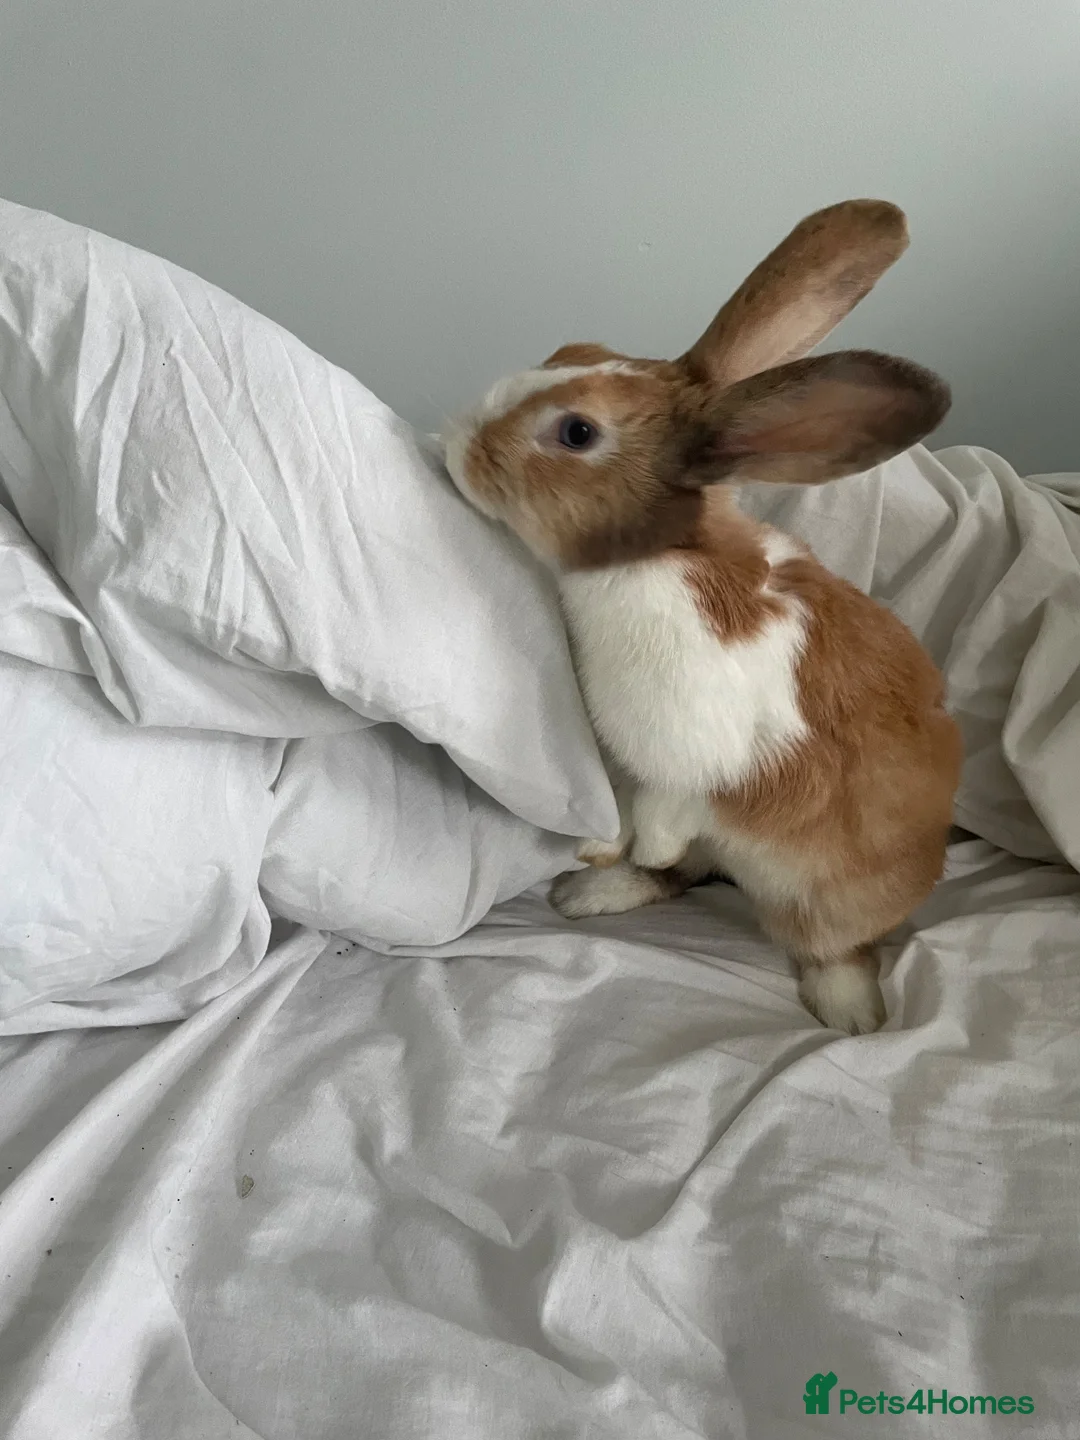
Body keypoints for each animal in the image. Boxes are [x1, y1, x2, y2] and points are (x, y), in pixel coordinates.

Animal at [441, 199, 962, 1035]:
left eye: (577, 432)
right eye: (573, 348)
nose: (456, 441)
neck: (657, 560)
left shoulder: (695, 752)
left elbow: (668, 807)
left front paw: (627, 847)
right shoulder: (623, 757)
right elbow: (628, 812)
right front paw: (599, 852)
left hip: (826, 899)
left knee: (829, 940)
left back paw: (852, 1014)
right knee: (685, 875)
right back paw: (589, 894)